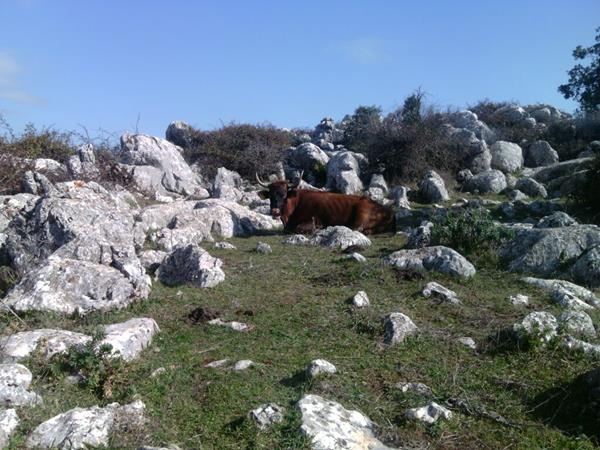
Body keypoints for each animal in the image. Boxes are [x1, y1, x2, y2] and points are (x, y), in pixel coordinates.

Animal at [255, 173, 396, 236]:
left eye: (284, 194)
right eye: (270, 195)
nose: (275, 211)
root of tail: (389, 211)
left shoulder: (313, 221)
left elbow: (299, 228)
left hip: (362, 213)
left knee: (356, 228)